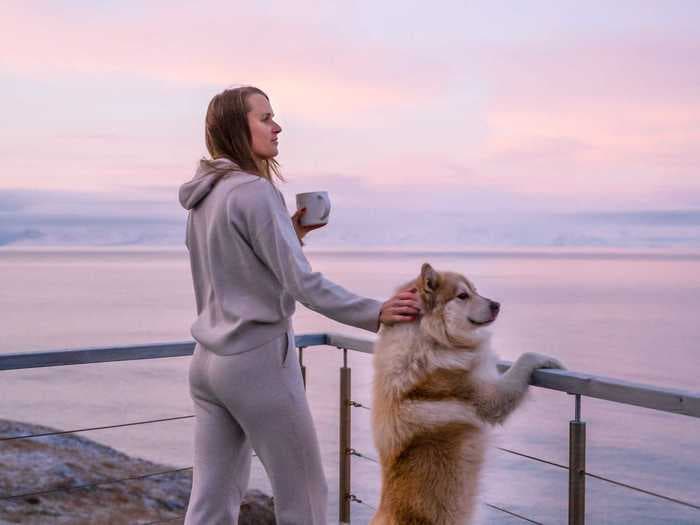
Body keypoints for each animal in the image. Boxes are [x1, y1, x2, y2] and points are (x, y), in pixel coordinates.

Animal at [372, 264, 564, 520]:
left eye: (476, 290)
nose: (496, 305)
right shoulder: (491, 398)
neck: (429, 338)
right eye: (462, 296)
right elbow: (524, 359)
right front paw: (547, 359)